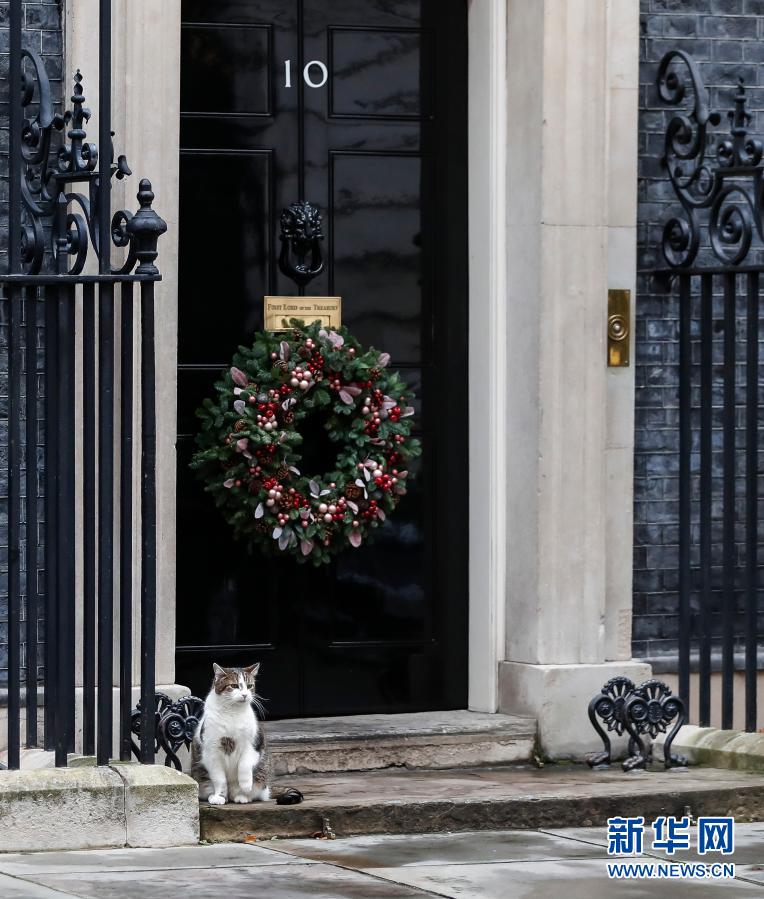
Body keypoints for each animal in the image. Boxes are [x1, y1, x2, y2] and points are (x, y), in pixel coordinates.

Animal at [190, 660, 270, 808]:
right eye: (234, 686)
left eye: (249, 686)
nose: (245, 695)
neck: (233, 712)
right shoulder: (212, 752)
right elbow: (219, 779)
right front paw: (219, 797)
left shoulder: (253, 745)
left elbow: (244, 765)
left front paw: (246, 785)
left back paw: (242, 796)